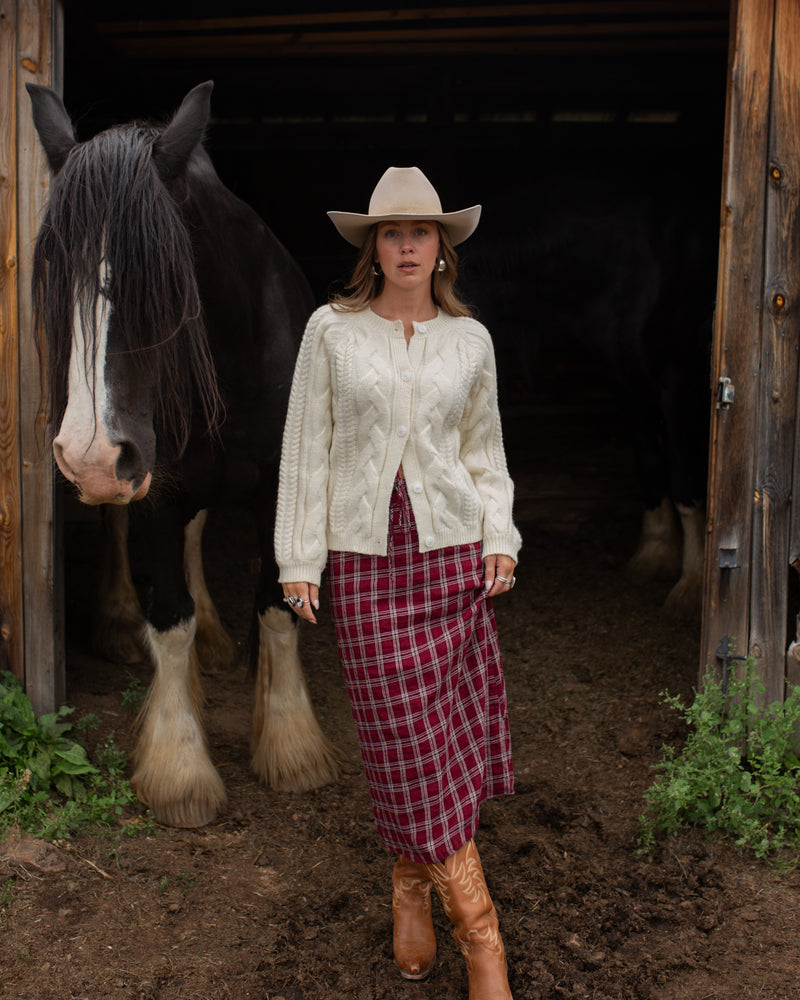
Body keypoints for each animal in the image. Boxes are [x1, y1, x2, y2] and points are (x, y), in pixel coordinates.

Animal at [28, 80, 338, 828]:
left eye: (168, 278)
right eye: (54, 273)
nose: (88, 456)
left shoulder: (276, 484)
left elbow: (276, 607)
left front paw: (291, 745)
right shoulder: (154, 480)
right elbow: (168, 617)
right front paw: (179, 769)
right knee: (119, 525)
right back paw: (117, 622)